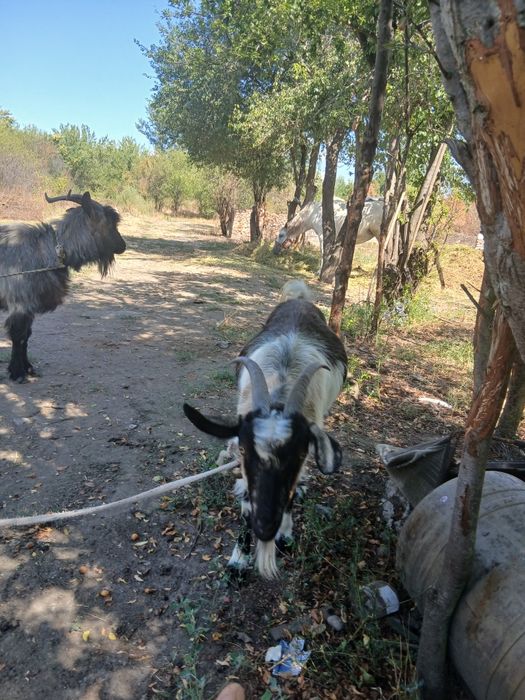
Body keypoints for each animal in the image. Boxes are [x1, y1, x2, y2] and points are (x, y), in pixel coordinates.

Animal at [0, 191, 126, 382]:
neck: (50, 251)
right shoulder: (20, 303)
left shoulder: (30, 307)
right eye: (109, 223)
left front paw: (28, 367)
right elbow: (19, 336)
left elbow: (27, 336)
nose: (123, 246)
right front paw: (18, 373)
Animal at [183, 280, 347, 579]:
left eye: (300, 454)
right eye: (245, 450)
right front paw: (239, 558)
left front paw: (286, 535)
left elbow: (291, 494)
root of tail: (299, 298)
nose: (266, 528)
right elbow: (247, 502)